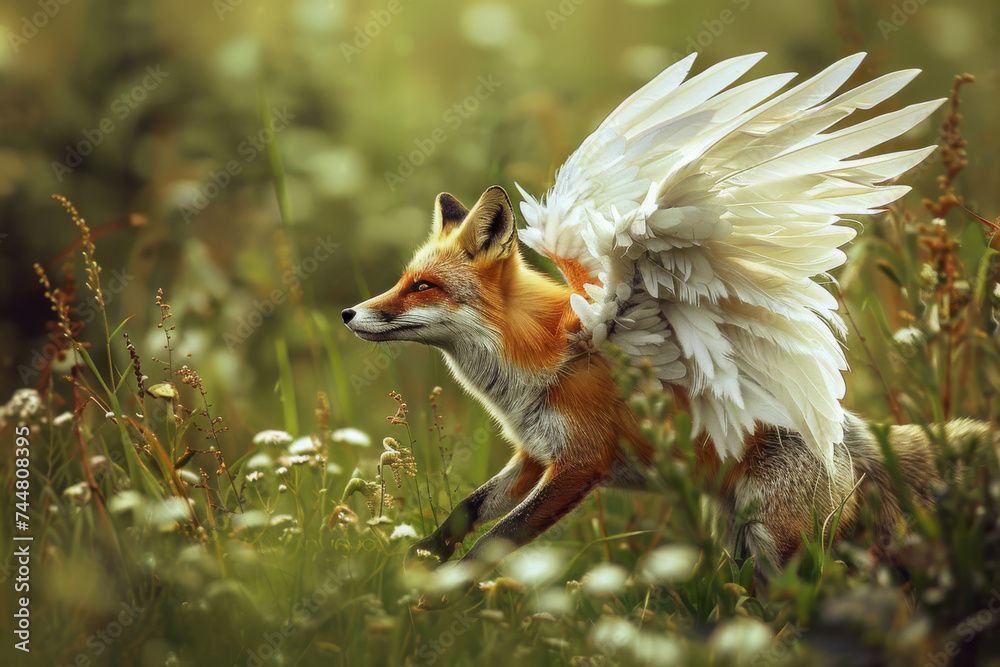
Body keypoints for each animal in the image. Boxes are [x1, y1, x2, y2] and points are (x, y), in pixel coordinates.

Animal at [343, 53, 997, 581]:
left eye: (424, 286)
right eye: (403, 279)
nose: (350, 312)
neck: (529, 365)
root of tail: (837, 431)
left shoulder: (580, 464)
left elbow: (492, 544)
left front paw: (434, 600)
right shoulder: (535, 455)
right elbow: (467, 512)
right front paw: (418, 561)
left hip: (780, 545)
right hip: (739, 543)